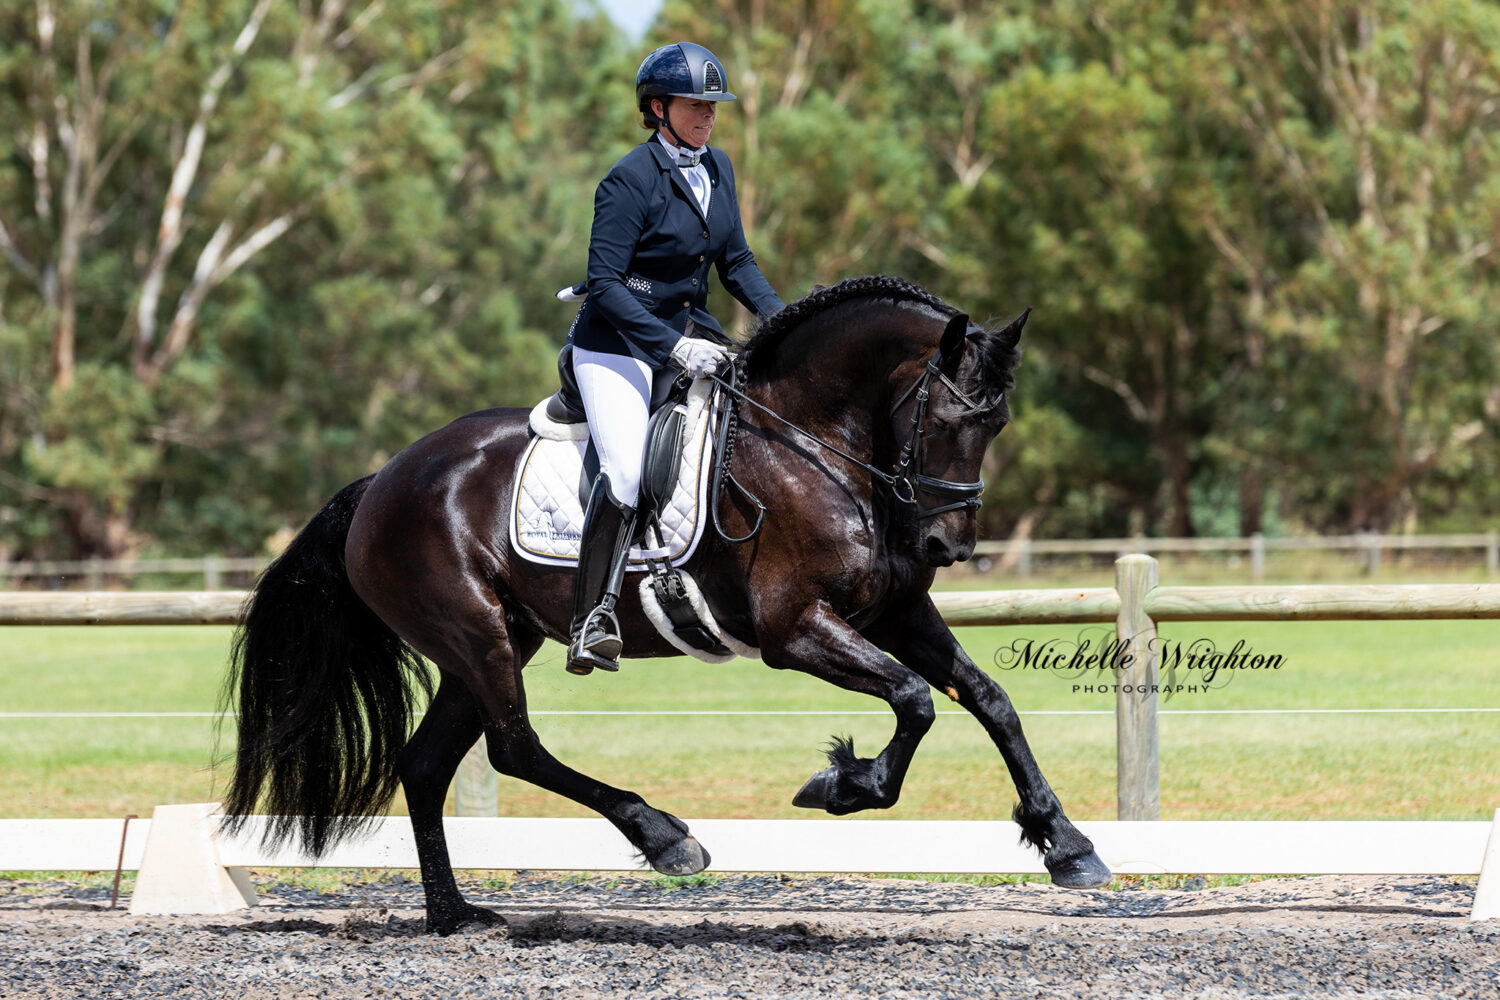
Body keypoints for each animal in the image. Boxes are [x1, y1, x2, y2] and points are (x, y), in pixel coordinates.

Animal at [225, 275, 1116, 941]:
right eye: (945, 418)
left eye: (997, 422)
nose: (945, 546)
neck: (812, 443)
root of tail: (382, 480)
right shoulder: (795, 630)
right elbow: (916, 699)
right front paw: (842, 784)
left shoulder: (895, 615)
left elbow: (988, 699)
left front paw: (1067, 844)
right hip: (478, 638)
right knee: (515, 749)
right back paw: (665, 838)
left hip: (492, 641)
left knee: (426, 763)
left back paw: (455, 914)